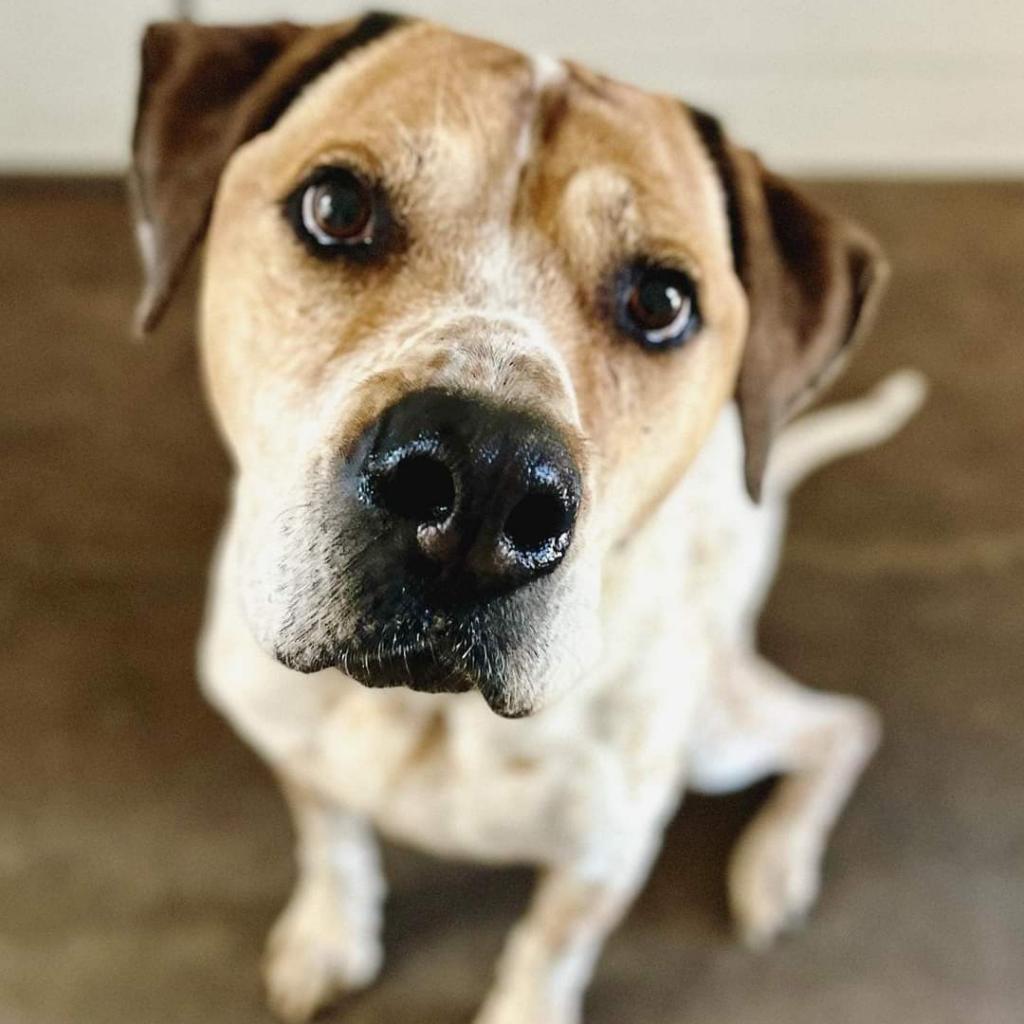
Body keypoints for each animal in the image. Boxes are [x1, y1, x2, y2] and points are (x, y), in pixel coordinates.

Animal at [130, 12, 929, 1019]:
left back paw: (777, 865)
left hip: (713, 734)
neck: (416, 714)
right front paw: (329, 935)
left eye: (662, 300)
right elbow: (331, 839)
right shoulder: (292, 748)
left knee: (843, 728)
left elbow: (547, 949)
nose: (485, 484)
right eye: (337, 208)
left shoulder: (605, 856)